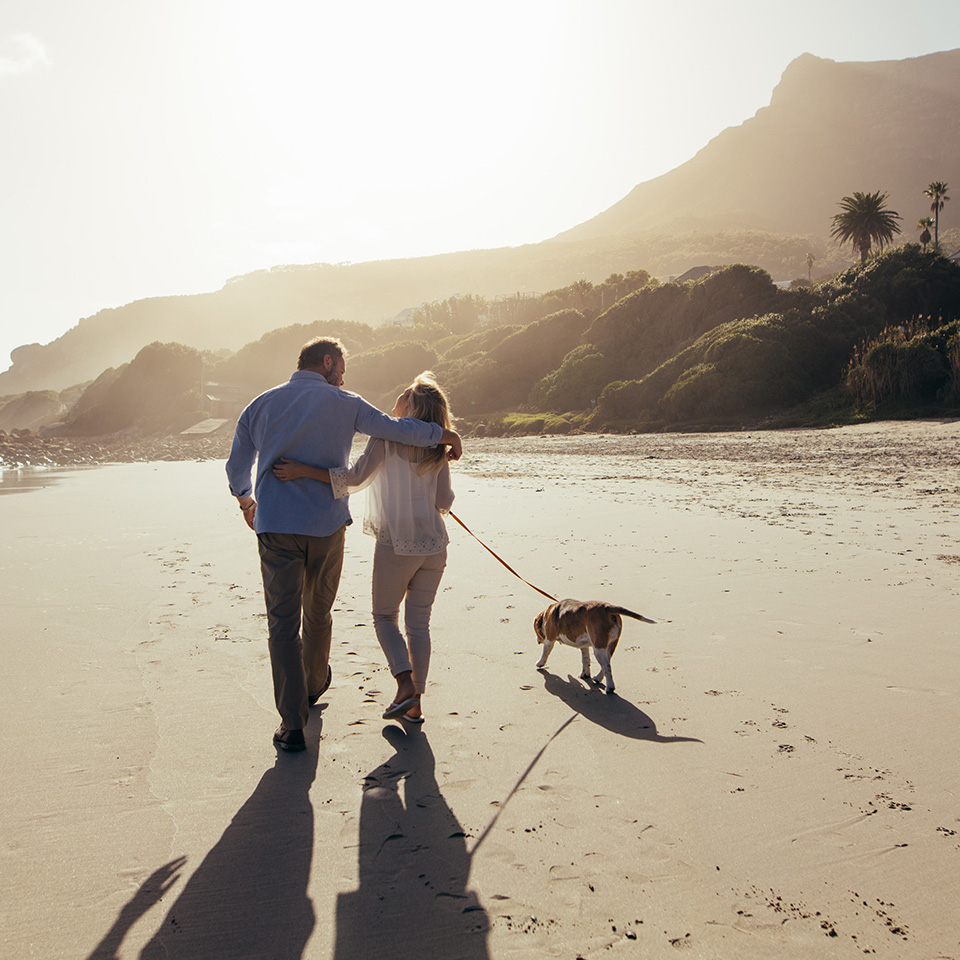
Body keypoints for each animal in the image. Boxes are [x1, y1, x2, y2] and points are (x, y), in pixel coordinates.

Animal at [528, 596, 656, 692]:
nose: (537, 641)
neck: (548, 613)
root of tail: (607, 607)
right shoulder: (584, 646)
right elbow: (586, 660)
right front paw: (585, 674)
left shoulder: (549, 640)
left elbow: (545, 653)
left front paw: (540, 663)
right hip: (609, 646)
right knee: (606, 663)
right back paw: (598, 678)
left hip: (598, 648)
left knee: (606, 666)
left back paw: (610, 688)